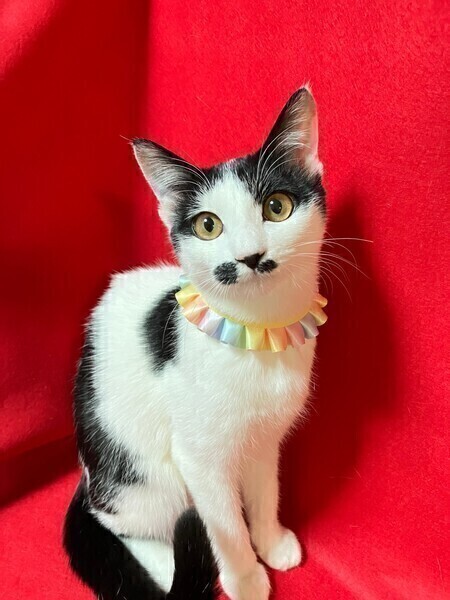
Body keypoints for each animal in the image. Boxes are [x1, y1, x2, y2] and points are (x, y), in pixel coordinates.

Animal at [64, 86, 326, 600]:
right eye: (208, 226)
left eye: (277, 207)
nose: (251, 256)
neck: (258, 335)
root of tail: (87, 476)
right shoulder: (198, 457)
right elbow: (223, 523)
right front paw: (245, 576)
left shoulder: (266, 437)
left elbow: (265, 490)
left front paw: (270, 541)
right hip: (140, 475)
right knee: (122, 524)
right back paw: (169, 568)